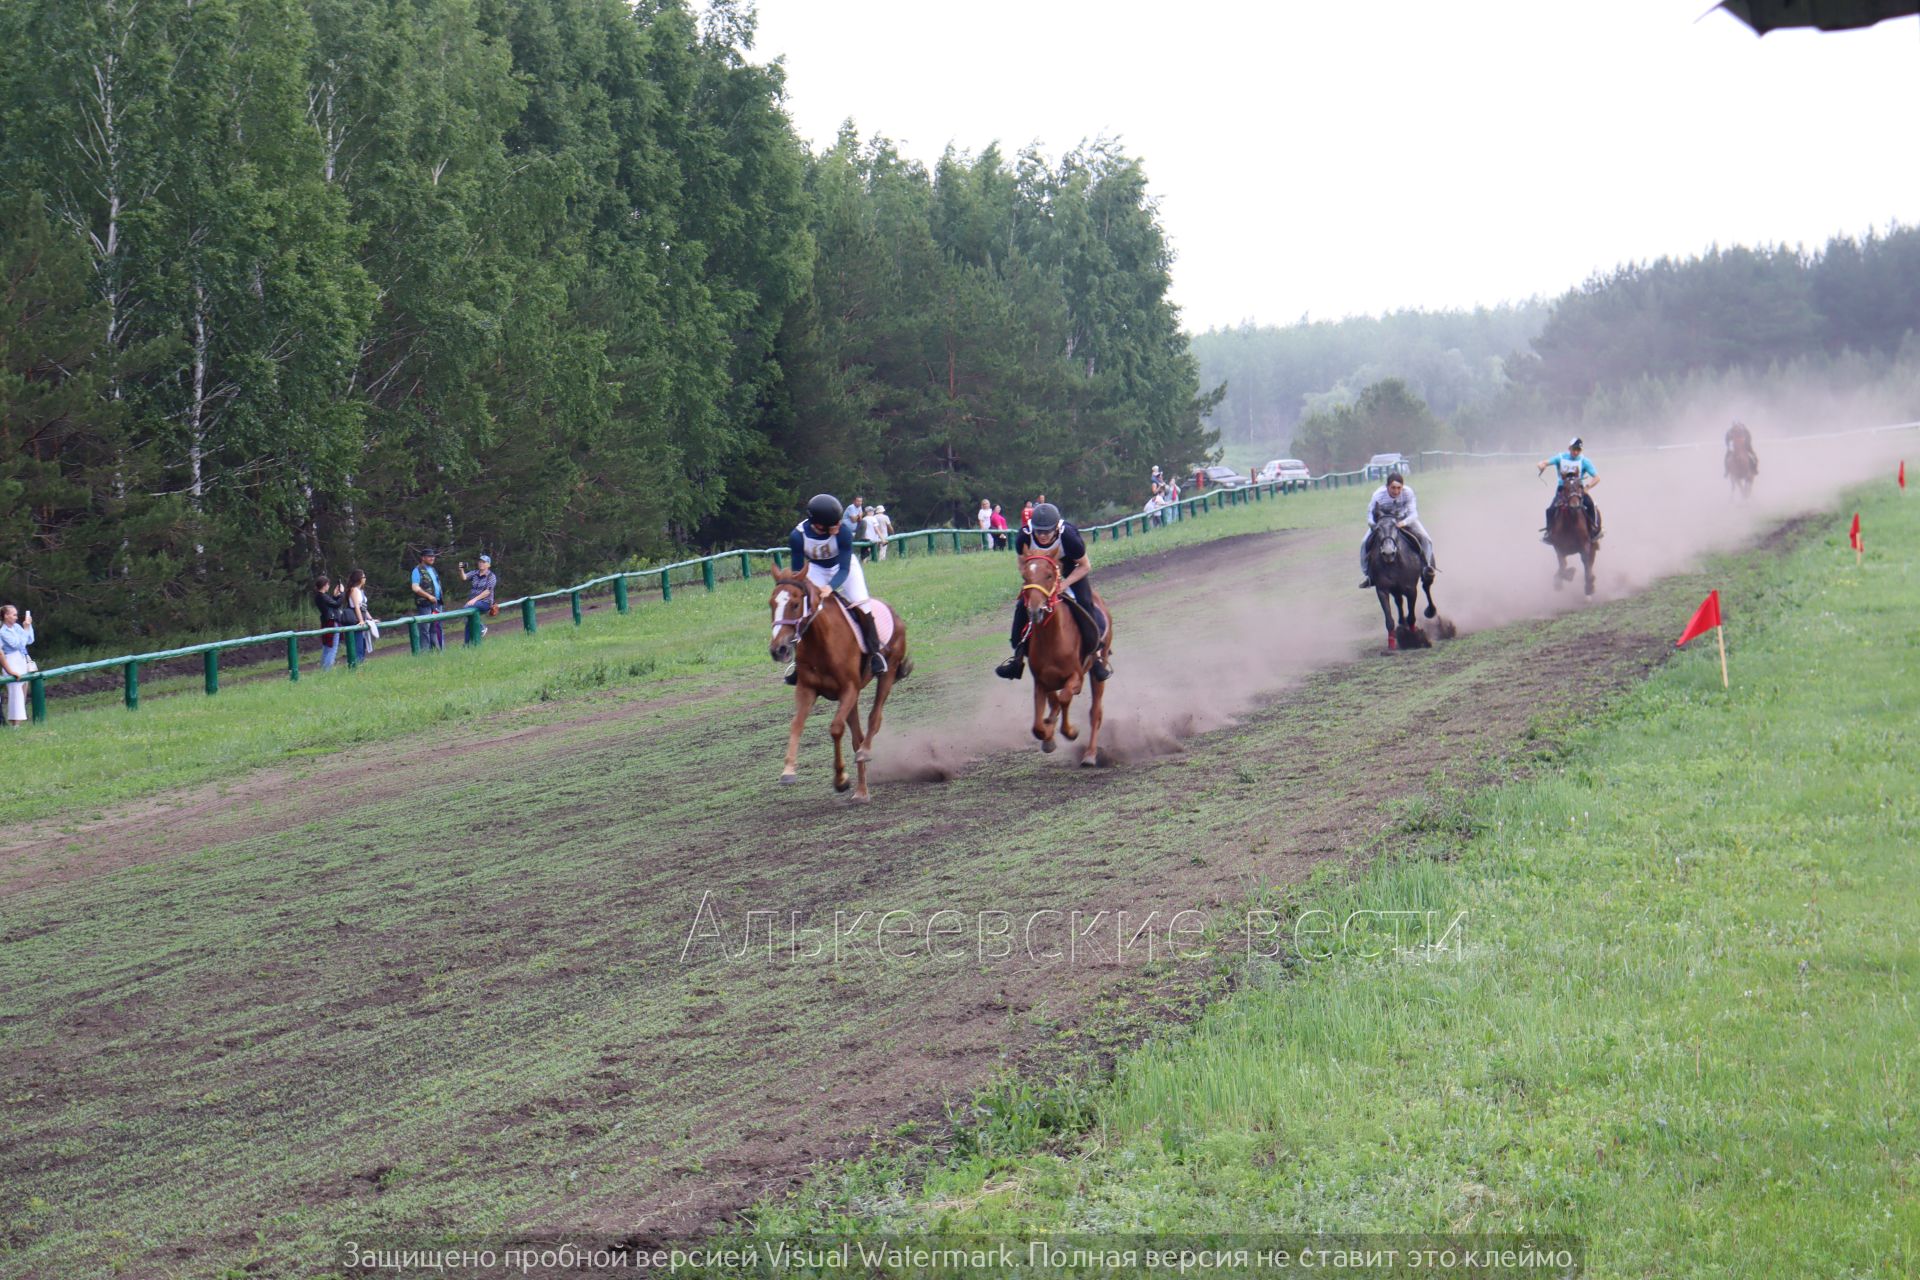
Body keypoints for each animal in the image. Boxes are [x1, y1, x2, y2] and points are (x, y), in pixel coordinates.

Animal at [768, 571, 910, 802]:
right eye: (771, 604)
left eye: (796, 604)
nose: (778, 650)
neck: (820, 641)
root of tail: (893, 612)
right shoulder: (807, 689)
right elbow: (796, 724)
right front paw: (788, 771)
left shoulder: (848, 689)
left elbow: (835, 728)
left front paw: (841, 779)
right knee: (857, 738)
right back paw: (862, 791)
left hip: (887, 674)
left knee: (874, 719)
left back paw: (865, 754)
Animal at [1021, 552, 1113, 771]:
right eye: (1025, 577)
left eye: (1048, 575)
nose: (1035, 611)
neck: (1052, 639)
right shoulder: (1041, 681)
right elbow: (1039, 724)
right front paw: (1047, 736)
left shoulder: (1076, 677)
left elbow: (1064, 699)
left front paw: (1070, 732)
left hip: (1099, 667)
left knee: (1095, 712)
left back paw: (1090, 755)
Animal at [1367, 514, 1443, 652]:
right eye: (1378, 530)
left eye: (1396, 528)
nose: (1388, 553)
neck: (1393, 563)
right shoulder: (1382, 590)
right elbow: (1389, 619)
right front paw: (1391, 645)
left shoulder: (1411, 589)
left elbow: (1412, 616)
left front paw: (1416, 639)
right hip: (1395, 589)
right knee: (1399, 601)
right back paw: (1402, 625)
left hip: (1427, 573)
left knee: (1426, 587)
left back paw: (1430, 611)